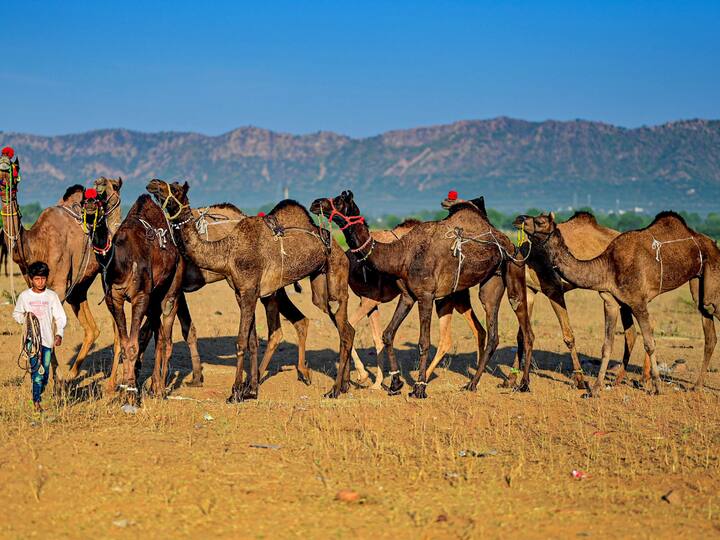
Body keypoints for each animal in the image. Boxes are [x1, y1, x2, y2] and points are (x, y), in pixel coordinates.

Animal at [0, 150, 123, 379]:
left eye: (15, 168)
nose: (4, 162)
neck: (35, 243)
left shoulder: (58, 285)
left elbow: (50, 327)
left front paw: (52, 379)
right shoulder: (36, 284)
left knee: (119, 330)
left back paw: (114, 381)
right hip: (79, 286)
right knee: (93, 329)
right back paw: (73, 373)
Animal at [146, 179, 355, 400]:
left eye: (175, 189)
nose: (153, 183)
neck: (226, 250)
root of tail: (342, 250)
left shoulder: (248, 291)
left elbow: (240, 341)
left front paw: (235, 391)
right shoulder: (242, 293)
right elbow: (251, 341)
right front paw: (250, 388)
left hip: (336, 278)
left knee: (343, 330)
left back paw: (334, 389)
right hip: (318, 287)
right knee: (343, 328)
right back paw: (341, 384)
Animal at [310, 191, 534, 398]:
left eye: (339, 199)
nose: (315, 203)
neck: (401, 255)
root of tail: (509, 242)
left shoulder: (425, 295)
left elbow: (423, 342)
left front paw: (418, 388)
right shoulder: (408, 296)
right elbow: (387, 334)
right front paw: (395, 384)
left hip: (514, 270)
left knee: (522, 323)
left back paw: (522, 384)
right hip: (486, 284)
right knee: (489, 331)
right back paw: (472, 383)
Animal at [515, 211, 720, 396]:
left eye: (540, 221)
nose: (520, 219)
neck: (608, 265)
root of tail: (712, 243)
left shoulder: (637, 302)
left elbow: (649, 343)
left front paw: (657, 387)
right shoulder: (611, 301)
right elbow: (607, 346)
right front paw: (595, 389)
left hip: (712, 281)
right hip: (697, 284)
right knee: (708, 331)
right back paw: (695, 386)